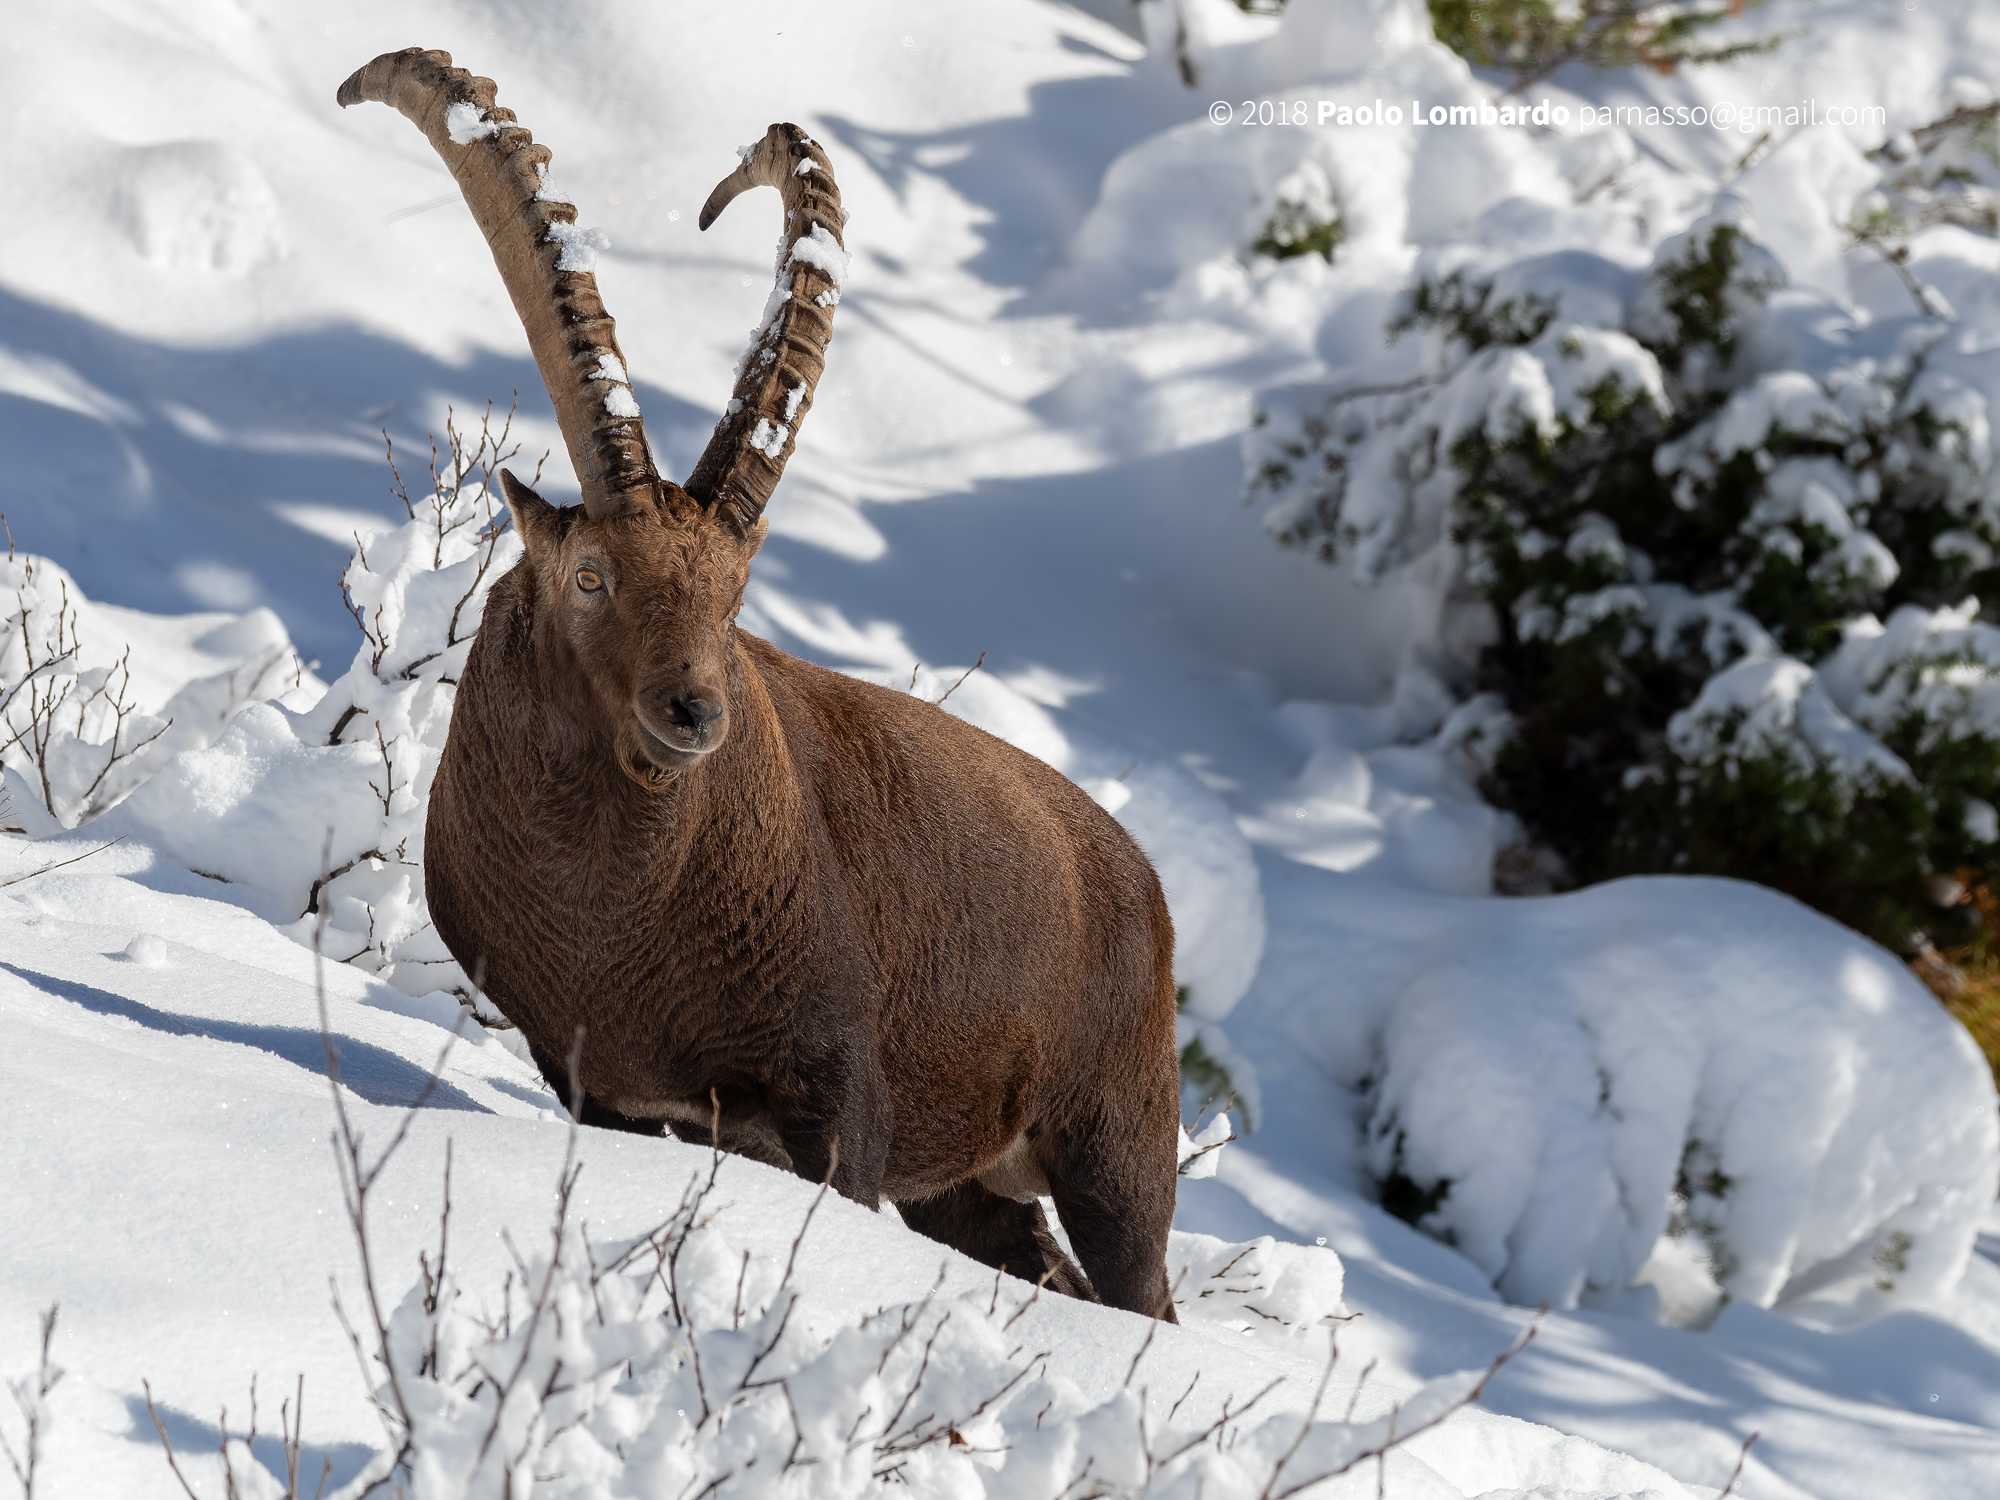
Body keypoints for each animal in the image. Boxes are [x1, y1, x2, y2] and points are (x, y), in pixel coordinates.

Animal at [339, 49, 1181, 1320]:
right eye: (590, 575)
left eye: (736, 596)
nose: (695, 713)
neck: (616, 912)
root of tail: (1138, 879)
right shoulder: (600, 1084)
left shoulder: (840, 1094)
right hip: (971, 1185)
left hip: (1118, 1146)